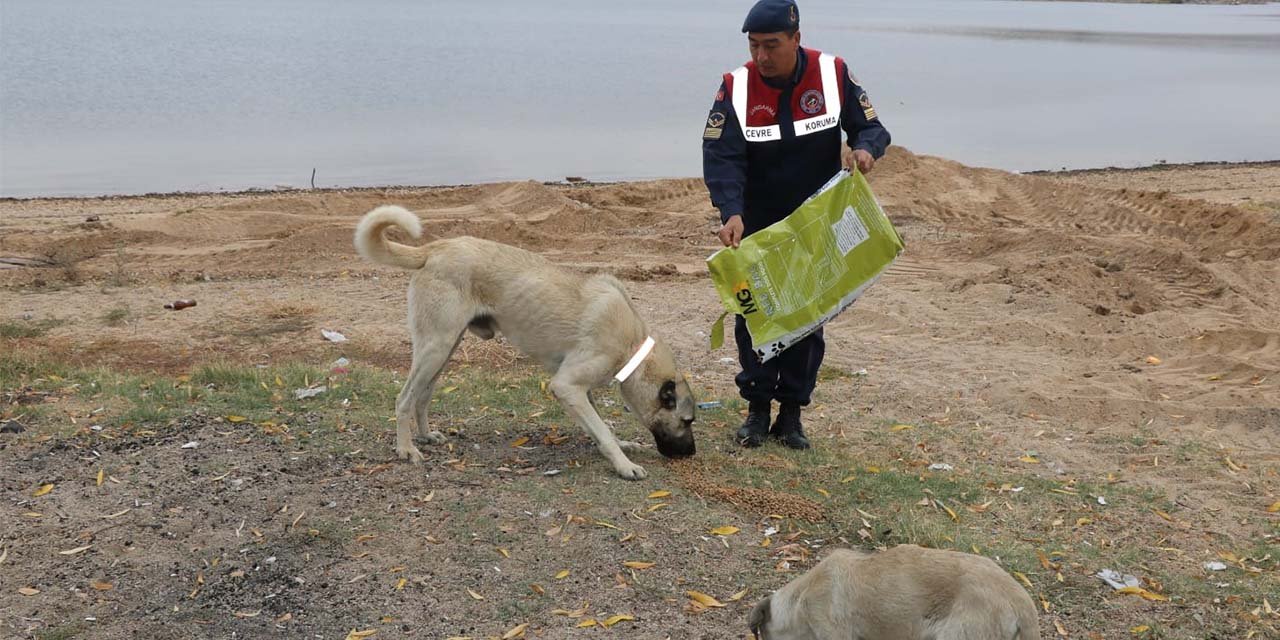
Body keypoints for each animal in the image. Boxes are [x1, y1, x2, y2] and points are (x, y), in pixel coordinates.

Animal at [353, 204, 701, 481]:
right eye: (687, 421)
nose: (691, 454)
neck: (633, 349)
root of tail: (436, 248)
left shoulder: (579, 391)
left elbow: (599, 426)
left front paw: (619, 446)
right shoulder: (566, 386)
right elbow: (602, 429)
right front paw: (623, 464)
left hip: (445, 349)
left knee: (422, 397)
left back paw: (425, 436)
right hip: (435, 347)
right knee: (404, 399)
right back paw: (406, 448)